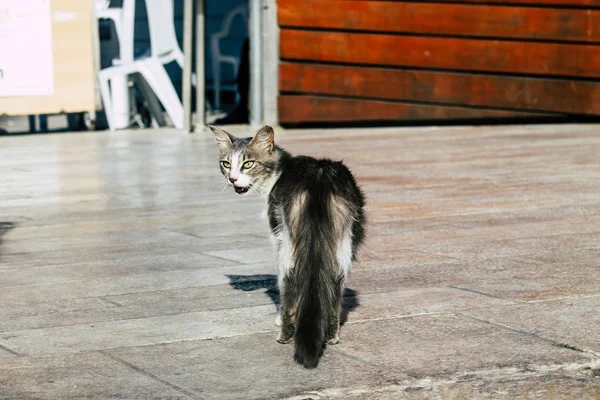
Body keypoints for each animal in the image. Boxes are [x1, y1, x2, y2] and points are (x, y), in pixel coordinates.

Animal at [209, 125, 366, 368]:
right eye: (226, 164)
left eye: (248, 164)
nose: (232, 179)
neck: (279, 171)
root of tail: (319, 178)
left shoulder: (276, 236)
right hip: (345, 242)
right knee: (334, 290)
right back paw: (332, 337)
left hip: (288, 244)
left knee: (289, 286)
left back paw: (283, 335)